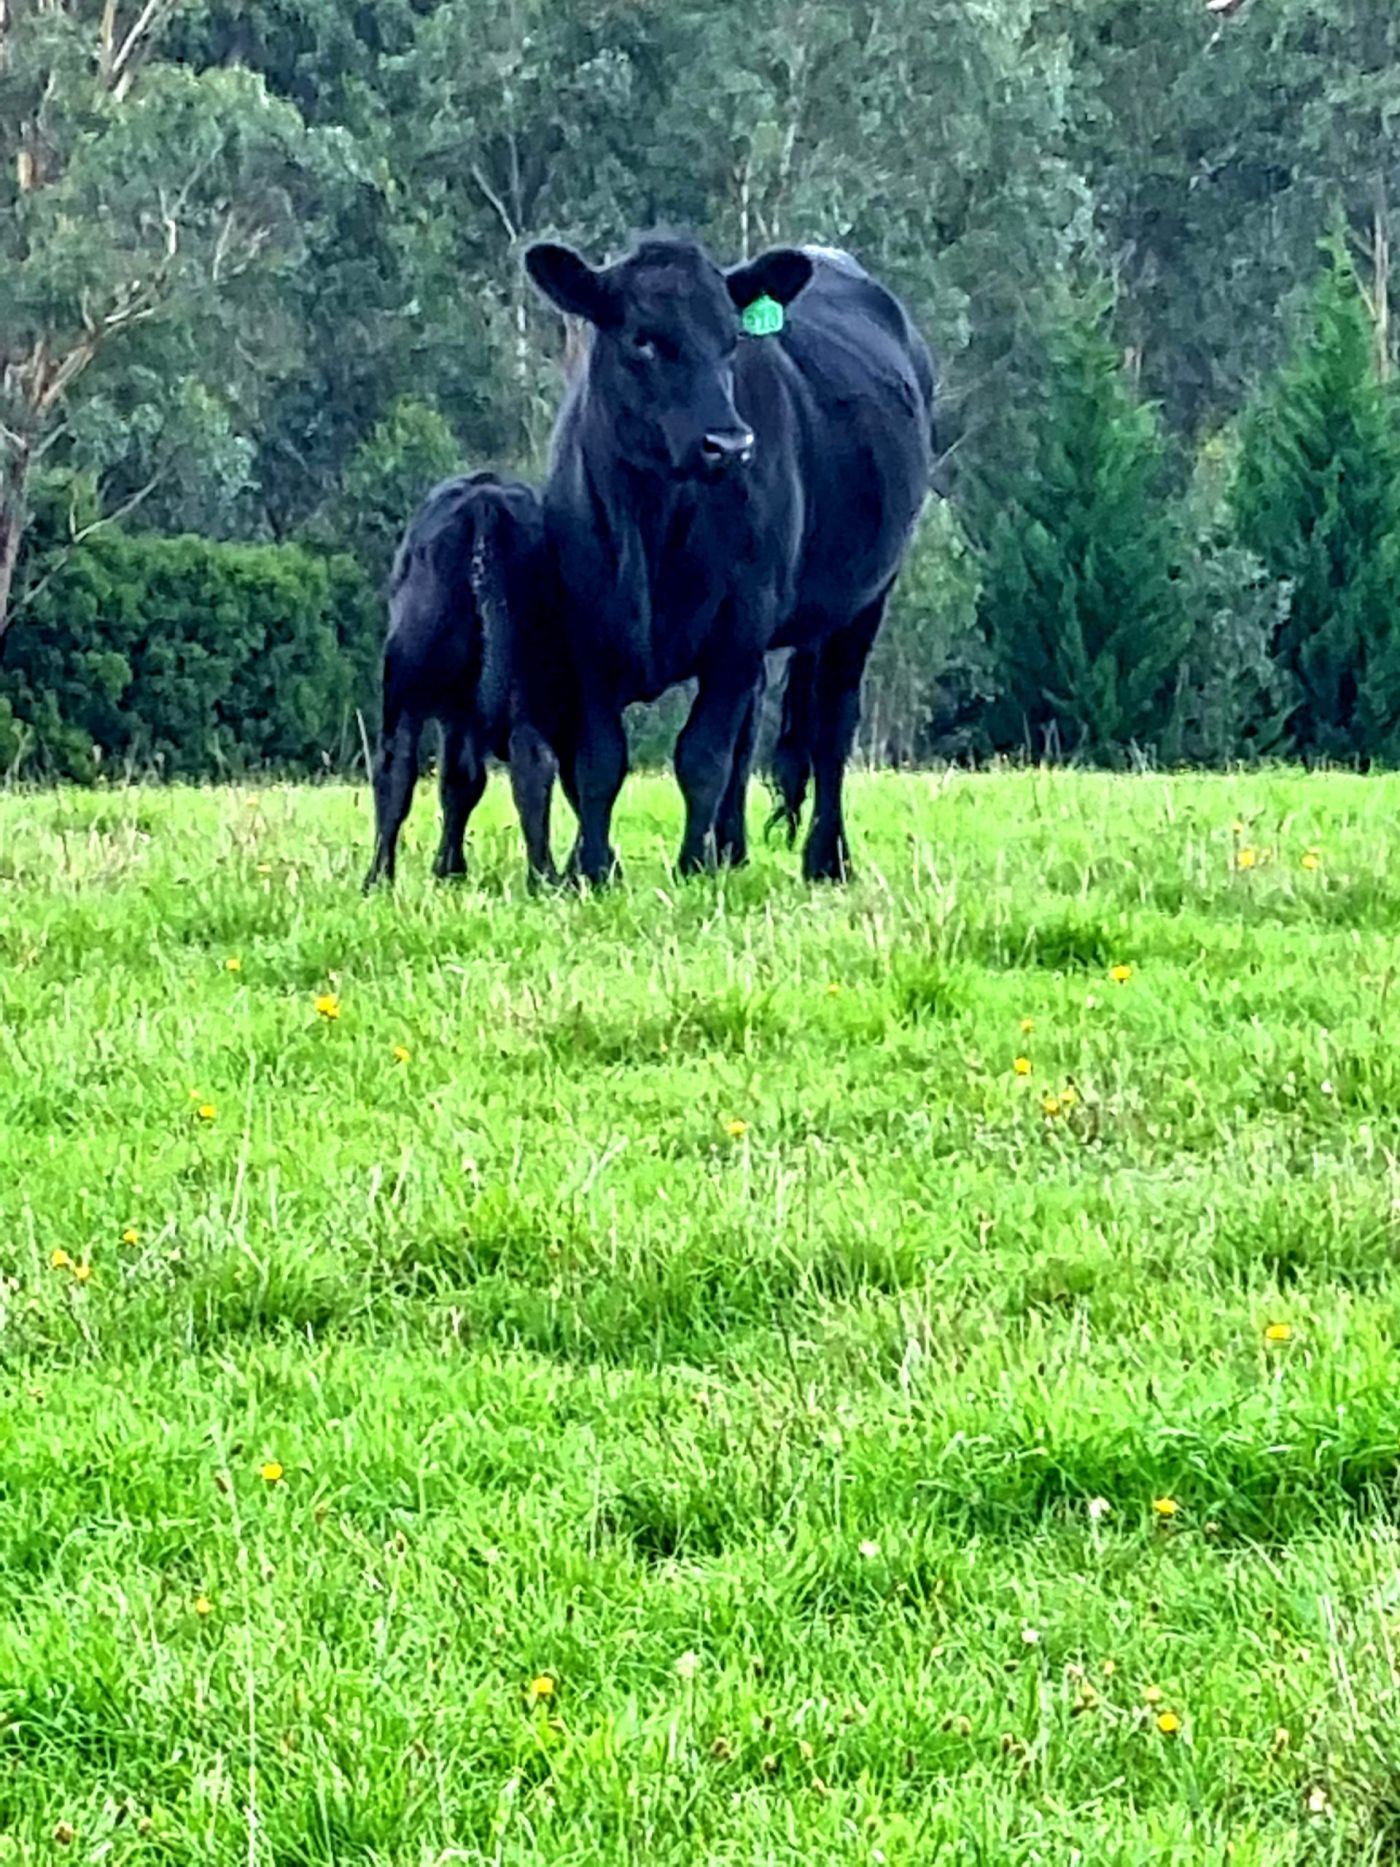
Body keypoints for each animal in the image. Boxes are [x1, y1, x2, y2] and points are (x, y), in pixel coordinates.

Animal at [363, 471, 561, 890]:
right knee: (533, 763)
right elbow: (464, 779)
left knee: (393, 768)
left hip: (405, 680)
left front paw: (448, 868)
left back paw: (377, 877)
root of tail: (484, 499)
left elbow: (455, 780)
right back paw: (545, 878)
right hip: (530, 678)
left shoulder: (454, 713)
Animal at [523, 233, 934, 883]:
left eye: (731, 340)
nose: (731, 444)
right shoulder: (585, 631)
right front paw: (590, 869)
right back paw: (733, 849)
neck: (651, 527)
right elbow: (597, 760)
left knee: (832, 725)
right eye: (643, 339)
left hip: (867, 597)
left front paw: (692, 866)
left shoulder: (739, 624)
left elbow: (702, 755)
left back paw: (825, 858)